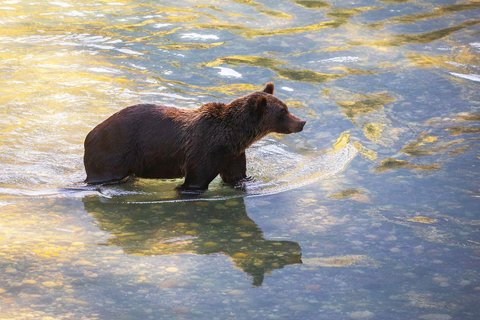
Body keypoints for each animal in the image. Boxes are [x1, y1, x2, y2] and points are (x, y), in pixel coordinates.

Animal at [84, 82, 306, 192]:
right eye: (283, 112)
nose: (302, 122)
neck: (232, 136)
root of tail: (89, 135)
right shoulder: (204, 150)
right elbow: (195, 180)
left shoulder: (232, 154)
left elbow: (236, 176)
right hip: (114, 152)